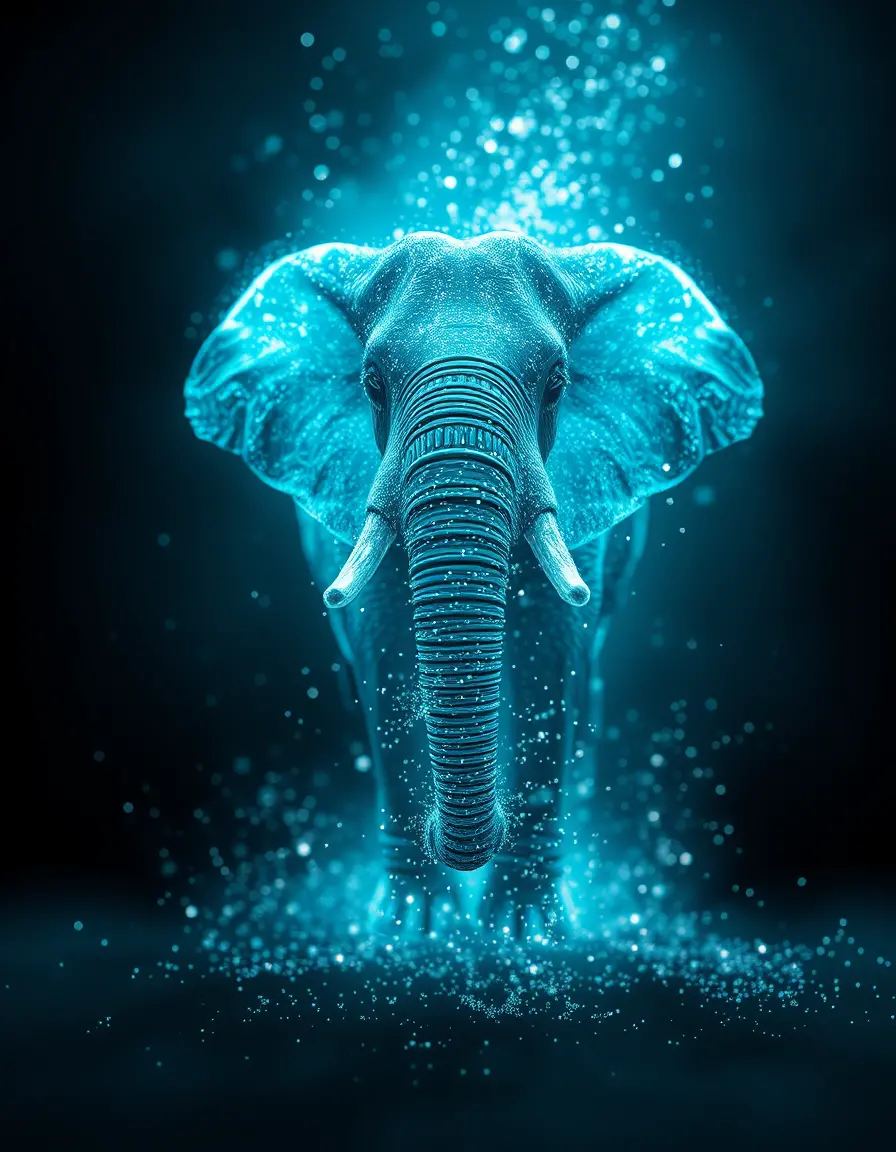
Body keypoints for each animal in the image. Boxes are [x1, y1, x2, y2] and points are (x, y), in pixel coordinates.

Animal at [184, 231, 763, 935]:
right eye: (371, 383)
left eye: (558, 382)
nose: (464, 834)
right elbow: (388, 657)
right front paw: (411, 933)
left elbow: (550, 657)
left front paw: (527, 934)